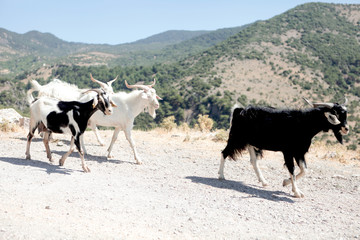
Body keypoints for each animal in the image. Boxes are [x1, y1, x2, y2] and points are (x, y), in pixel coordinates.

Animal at [219, 97, 348, 197]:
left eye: (345, 114)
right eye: (336, 114)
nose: (346, 129)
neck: (304, 124)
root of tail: (239, 110)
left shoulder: (299, 152)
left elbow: (304, 170)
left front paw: (286, 182)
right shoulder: (288, 152)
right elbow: (292, 169)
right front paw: (296, 192)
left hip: (250, 143)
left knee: (253, 161)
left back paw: (264, 181)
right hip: (236, 138)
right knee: (224, 152)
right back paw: (221, 175)